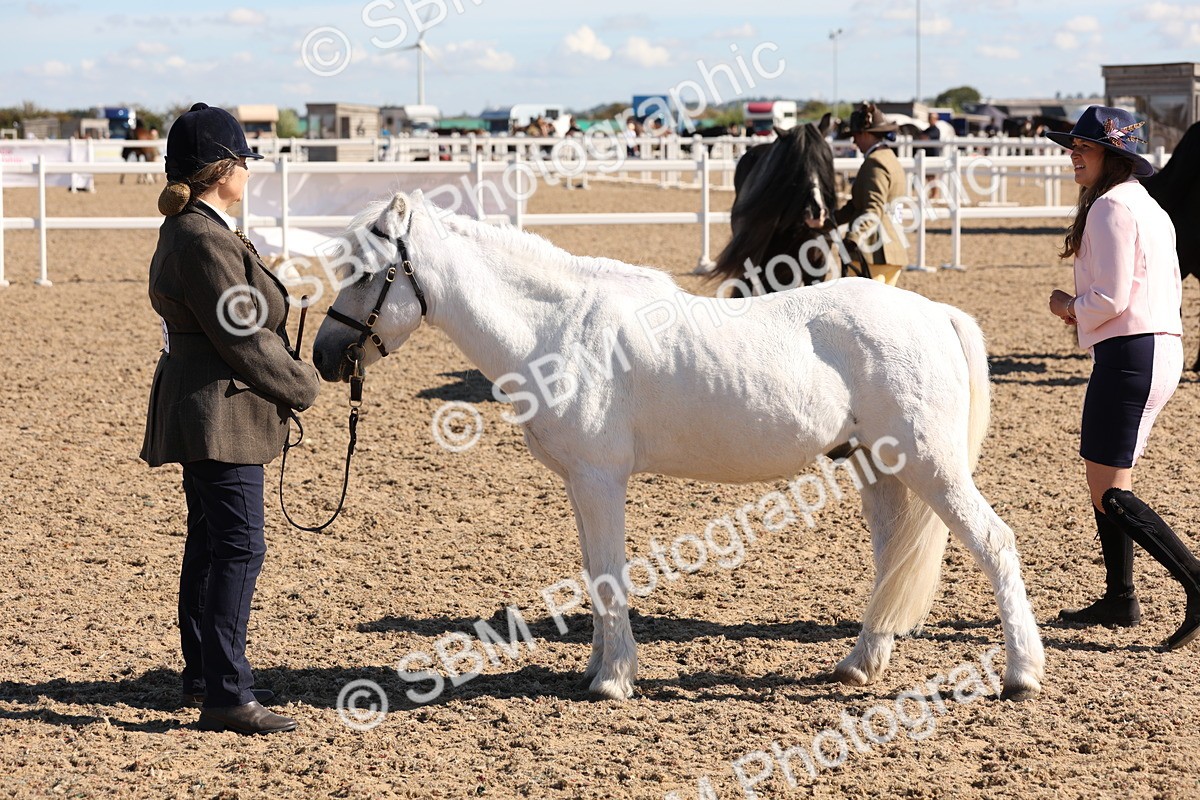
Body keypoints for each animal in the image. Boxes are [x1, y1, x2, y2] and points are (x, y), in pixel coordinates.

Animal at [311, 191, 1046, 702]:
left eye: (366, 271)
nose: (323, 358)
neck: (558, 328)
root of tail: (933, 313)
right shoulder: (580, 483)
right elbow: (593, 571)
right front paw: (596, 668)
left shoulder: (600, 478)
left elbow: (609, 574)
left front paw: (614, 681)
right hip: (881, 468)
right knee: (893, 559)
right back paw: (859, 664)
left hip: (932, 466)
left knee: (994, 541)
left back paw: (1021, 673)